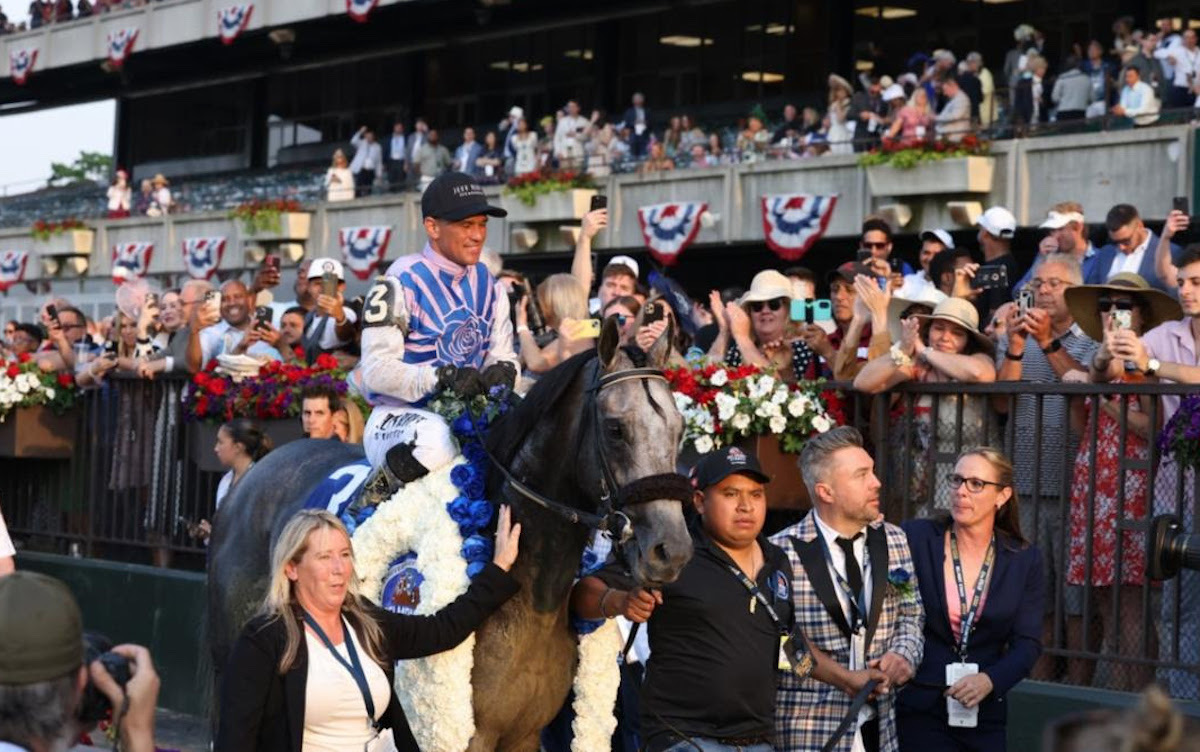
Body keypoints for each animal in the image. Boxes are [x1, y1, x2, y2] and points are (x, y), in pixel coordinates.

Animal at [207, 321, 696, 752]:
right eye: (615, 428)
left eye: (679, 429)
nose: (670, 550)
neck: (528, 597)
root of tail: (256, 471)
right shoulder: (472, 736)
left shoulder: (523, 735)